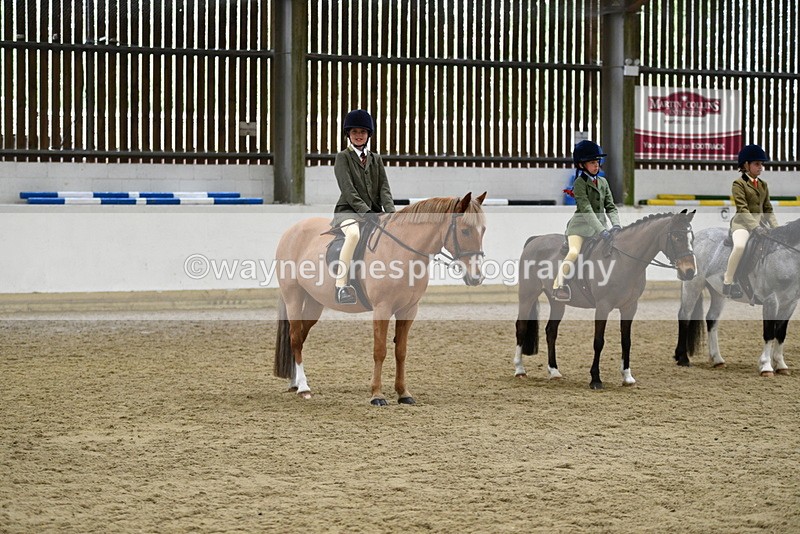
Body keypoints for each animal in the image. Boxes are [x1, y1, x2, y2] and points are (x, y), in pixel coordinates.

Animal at [273, 192, 487, 405]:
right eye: (465, 231)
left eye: (483, 230)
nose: (476, 277)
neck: (401, 252)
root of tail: (291, 231)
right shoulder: (382, 308)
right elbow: (380, 350)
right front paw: (377, 395)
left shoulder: (409, 310)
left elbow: (401, 351)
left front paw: (403, 393)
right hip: (293, 297)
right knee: (295, 338)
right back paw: (303, 387)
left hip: (314, 303)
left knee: (300, 337)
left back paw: (295, 383)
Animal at [514, 210, 697, 389]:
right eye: (677, 237)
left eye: (692, 238)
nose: (690, 272)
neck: (623, 261)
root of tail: (535, 240)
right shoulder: (603, 306)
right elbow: (599, 341)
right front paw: (595, 379)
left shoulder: (630, 307)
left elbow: (626, 341)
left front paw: (627, 377)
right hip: (527, 295)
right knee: (521, 327)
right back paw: (520, 370)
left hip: (557, 303)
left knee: (551, 331)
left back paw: (554, 371)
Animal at [673, 219, 800, 376]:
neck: (785, 256)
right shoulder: (771, 301)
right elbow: (769, 333)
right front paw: (766, 366)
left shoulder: (790, 303)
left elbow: (781, 334)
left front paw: (781, 365)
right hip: (693, 284)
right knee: (685, 316)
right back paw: (682, 358)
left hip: (719, 293)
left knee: (712, 319)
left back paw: (718, 360)